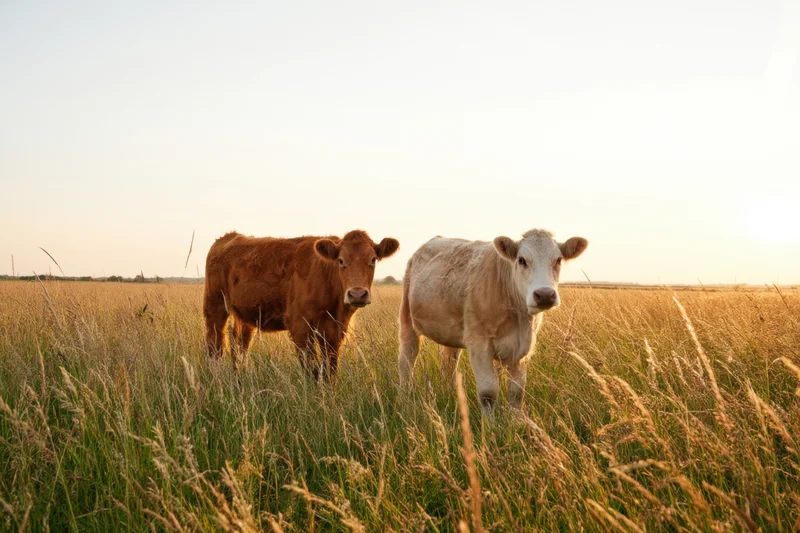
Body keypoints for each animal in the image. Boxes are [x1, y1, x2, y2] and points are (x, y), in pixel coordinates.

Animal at [204, 230, 399, 380]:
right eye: (341, 260)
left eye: (373, 260)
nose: (357, 294)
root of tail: (229, 237)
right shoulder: (300, 326)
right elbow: (312, 369)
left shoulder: (335, 330)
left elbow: (330, 369)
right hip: (215, 307)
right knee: (215, 346)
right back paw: (216, 379)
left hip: (245, 315)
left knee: (240, 346)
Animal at [398, 229, 587, 414]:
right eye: (521, 260)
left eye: (558, 260)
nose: (545, 295)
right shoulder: (479, 344)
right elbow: (488, 394)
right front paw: (490, 423)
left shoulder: (522, 349)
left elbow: (517, 393)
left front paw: (517, 420)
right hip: (407, 319)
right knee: (406, 361)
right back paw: (405, 396)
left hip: (450, 332)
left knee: (448, 363)